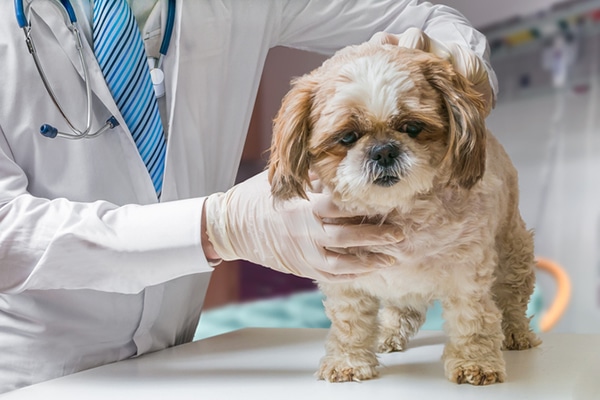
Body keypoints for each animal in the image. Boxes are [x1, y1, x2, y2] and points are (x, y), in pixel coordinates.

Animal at [268, 40, 540, 384]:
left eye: (412, 127)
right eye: (347, 137)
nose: (384, 150)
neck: (399, 211)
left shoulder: (467, 272)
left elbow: (472, 318)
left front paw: (475, 363)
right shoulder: (345, 276)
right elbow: (349, 322)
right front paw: (348, 361)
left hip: (513, 253)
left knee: (512, 299)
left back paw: (516, 333)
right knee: (402, 308)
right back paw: (388, 333)